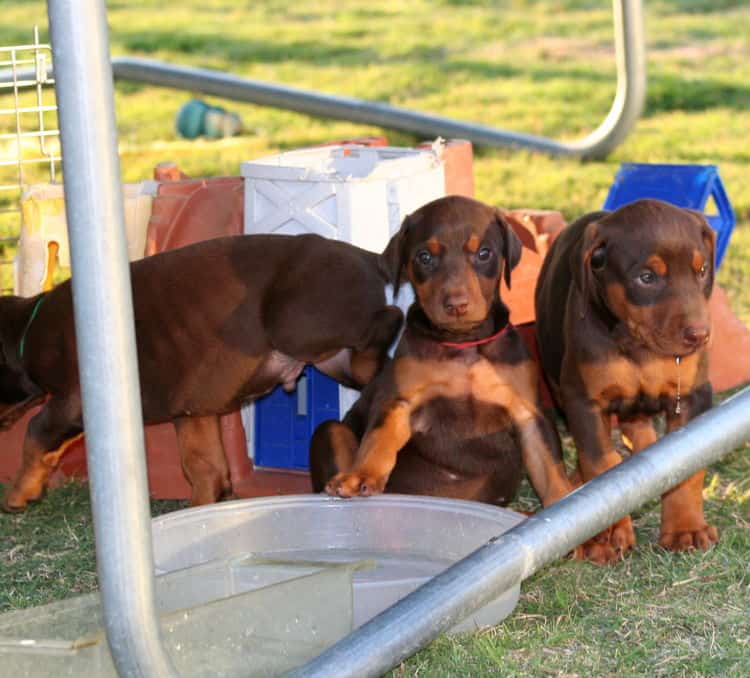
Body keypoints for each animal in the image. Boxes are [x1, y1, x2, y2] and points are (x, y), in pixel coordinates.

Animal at [1, 236, 406, 512]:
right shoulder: (194, 410)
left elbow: (35, 433)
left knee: (387, 319)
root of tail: (369, 258)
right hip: (331, 358)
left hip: (295, 323)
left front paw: (19, 492)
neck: (26, 329)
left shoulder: (73, 400)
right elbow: (204, 466)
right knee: (370, 364)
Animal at [536, 198, 720, 564]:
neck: (640, 347)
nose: (700, 336)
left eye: (702, 270)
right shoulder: (584, 400)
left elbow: (686, 463)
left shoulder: (694, 393)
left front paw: (686, 530)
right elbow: (602, 464)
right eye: (646, 277)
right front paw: (607, 532)